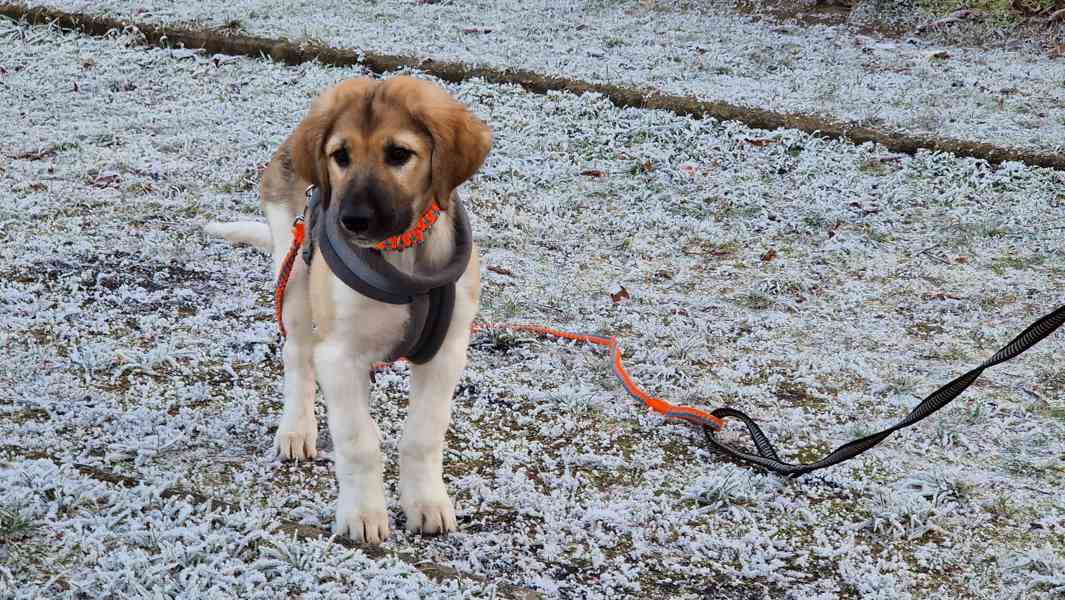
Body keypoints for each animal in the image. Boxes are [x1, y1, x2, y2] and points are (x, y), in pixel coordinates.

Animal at [205, 76, 492, 545]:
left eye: (399, 155)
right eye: (340, 156)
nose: (351, 221)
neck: (401, 253)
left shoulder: (445, 353)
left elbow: (423, 434)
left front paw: (426, 503)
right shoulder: (339, 355)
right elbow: (358, 442)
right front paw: (362, 514)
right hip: (294, 279)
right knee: (297, 357)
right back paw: (296, 429)